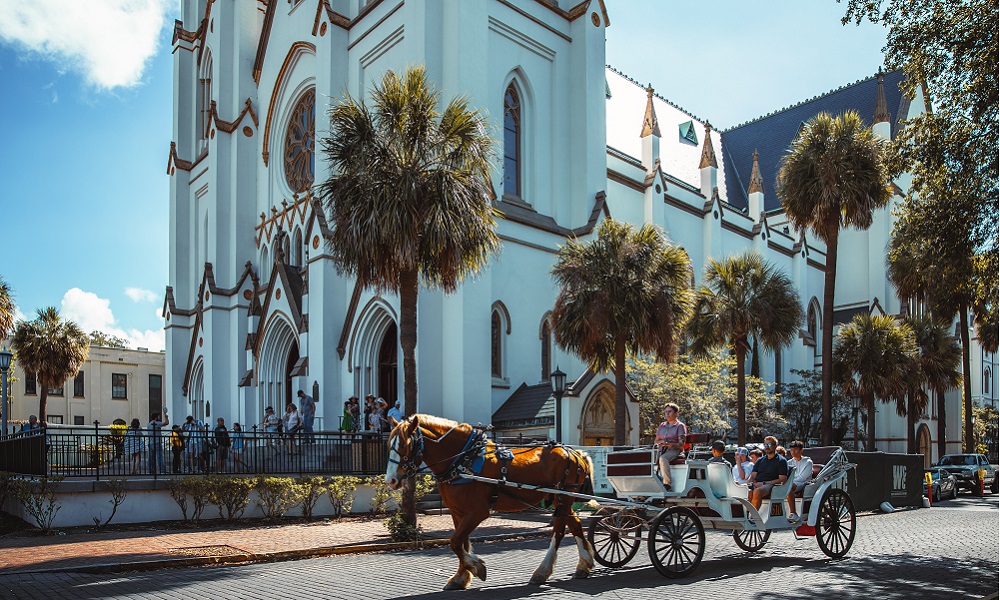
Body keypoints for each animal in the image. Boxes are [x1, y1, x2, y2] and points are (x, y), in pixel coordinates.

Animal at [386, 414, 592, 588]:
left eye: (404, 445)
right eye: (389, 445)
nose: (391, 480)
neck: (462, 460)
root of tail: (576, 453)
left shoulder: (477, 512)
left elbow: (455, 541)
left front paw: (476, 567)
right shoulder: (457, 511)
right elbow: (461, 542)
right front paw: (461, 577)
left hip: (564, 495)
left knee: (558, 530)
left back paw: (542, 571)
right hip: (561, 499)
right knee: (574, 524)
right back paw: (584, 565)